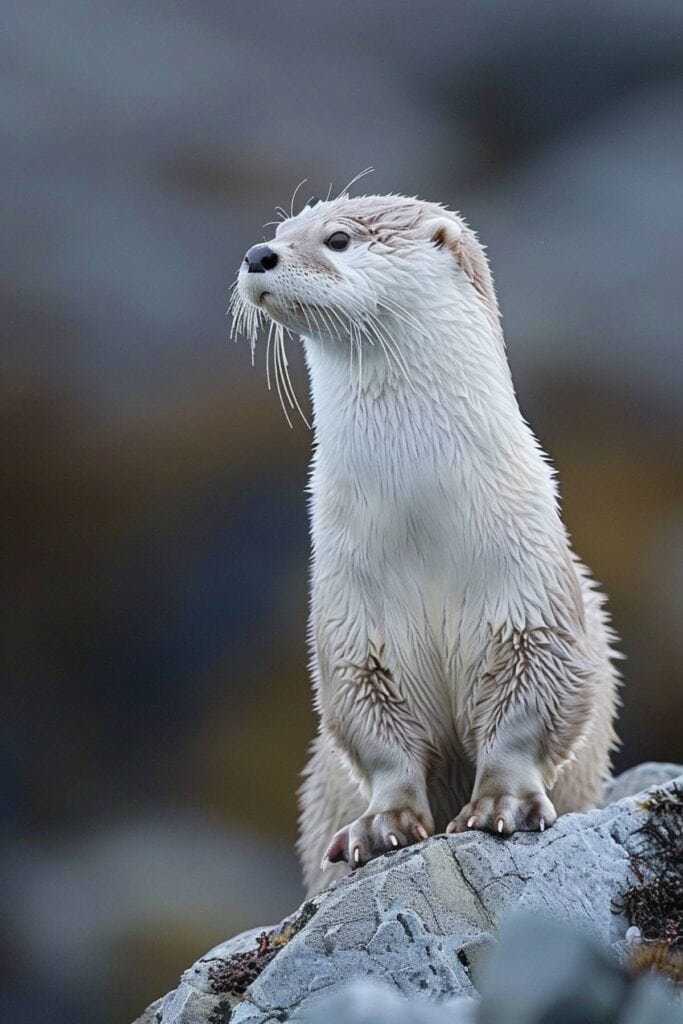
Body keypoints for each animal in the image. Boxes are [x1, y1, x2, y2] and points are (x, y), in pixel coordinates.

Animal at [232, 192, 622, 897]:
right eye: (281, 229)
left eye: (338, 238)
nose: (258, 253)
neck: (423, 513)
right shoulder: (350, 611)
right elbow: (376, 733)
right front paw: (379, 826)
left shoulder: (531, 593)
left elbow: (529, 709)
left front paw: (500, 804)